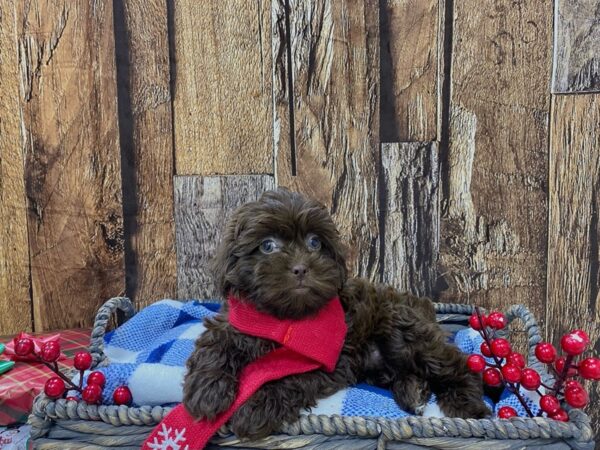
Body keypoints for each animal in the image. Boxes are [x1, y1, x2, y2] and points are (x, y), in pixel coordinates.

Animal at [182, 188, 488, 438]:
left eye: (315, 243)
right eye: (267, 245)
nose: (301, 268)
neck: (285, 323)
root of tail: (424, 307)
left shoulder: (331, 361)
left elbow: (288, 378)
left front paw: (256, 407)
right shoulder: (235, 321)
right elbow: (215, 343)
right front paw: (207, 390)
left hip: (404, 333)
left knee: (458, 366)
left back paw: (469, 406)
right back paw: (413, 392)